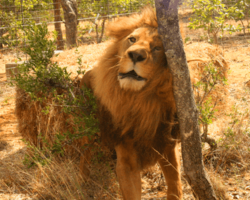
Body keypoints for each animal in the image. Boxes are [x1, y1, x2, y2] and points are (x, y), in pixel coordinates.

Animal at [81, 6, 183, 200]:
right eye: (132, 39)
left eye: (157, 47)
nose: (136, 54)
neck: (138, 100)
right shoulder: (126, 156)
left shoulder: (166, 144)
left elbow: (175, 185)